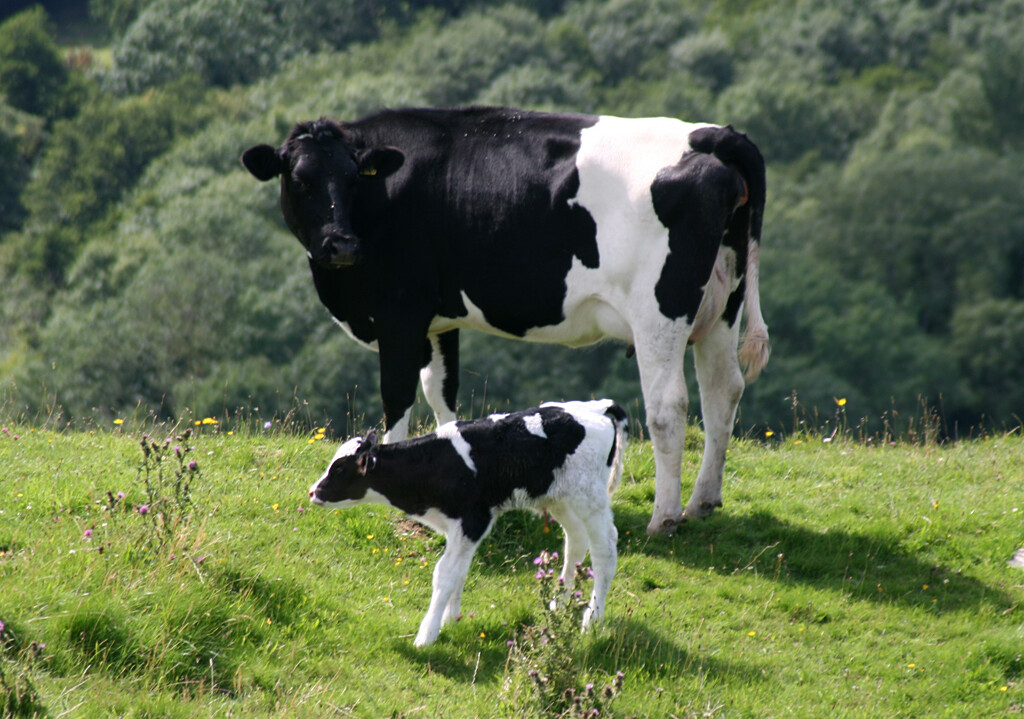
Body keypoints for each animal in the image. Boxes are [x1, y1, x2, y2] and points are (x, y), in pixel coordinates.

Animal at [242, 106, 769, 535]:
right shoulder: (439, 318)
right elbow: (442, 390)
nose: (341, 244)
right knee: (723, 389)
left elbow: (398, 396)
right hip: (724, 303)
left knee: (669, 406)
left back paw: (665, 518)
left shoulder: (399, 313)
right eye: (300, 179)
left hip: (660, 310)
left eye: (354, 179)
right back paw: (703, 502)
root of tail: (713, 134)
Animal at [307, 399, 628, 647]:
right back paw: (559, 602)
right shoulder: (456, 527)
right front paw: (451, 619)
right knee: (576, 540)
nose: (313, 491)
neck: (436, 463)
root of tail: (597, 407)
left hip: (590, 497)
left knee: (605, 549)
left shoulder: (474, 520)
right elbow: (459, 571)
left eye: (339, 469)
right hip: (560, 498)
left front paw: (427, 634)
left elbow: (445, 573)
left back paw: (592, 619)